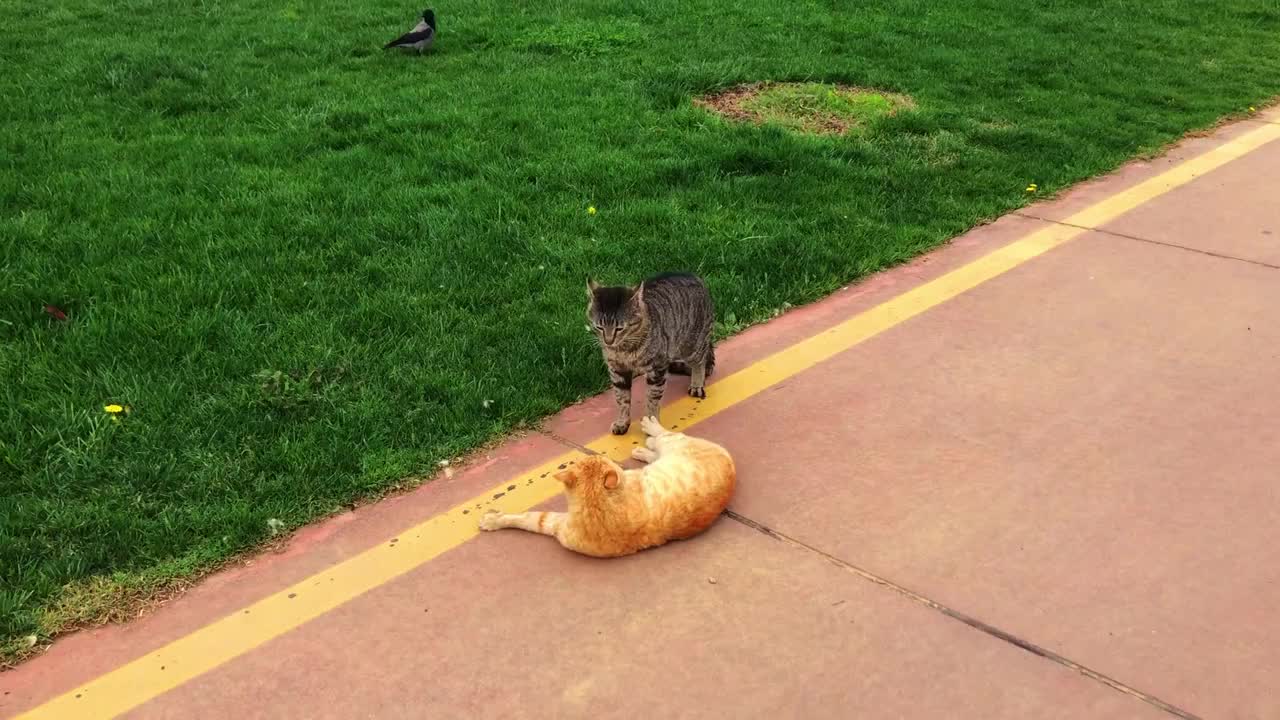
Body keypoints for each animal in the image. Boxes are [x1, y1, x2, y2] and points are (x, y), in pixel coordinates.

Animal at [478, 415, 742, 556]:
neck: (597, 505)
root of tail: (730, 460)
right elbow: (527, 519)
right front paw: (494, 520)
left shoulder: (556, 522)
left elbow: (528, 517)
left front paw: (492, 519)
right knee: (656, 451)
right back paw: (642, 450)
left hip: (675, 443)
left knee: (664, 436)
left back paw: (650, 430)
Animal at [586, 272, 716, 430]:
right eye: (599, 327)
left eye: (619, 328)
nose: (608, 341)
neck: (624, 350)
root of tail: (694, 276)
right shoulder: (617, 370)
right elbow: (621, 398)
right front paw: (623, 422)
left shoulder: (657, 369)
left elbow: (652, 399)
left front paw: (652, 422)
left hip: (691, 344)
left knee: (700, 360)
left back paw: (697, 383)